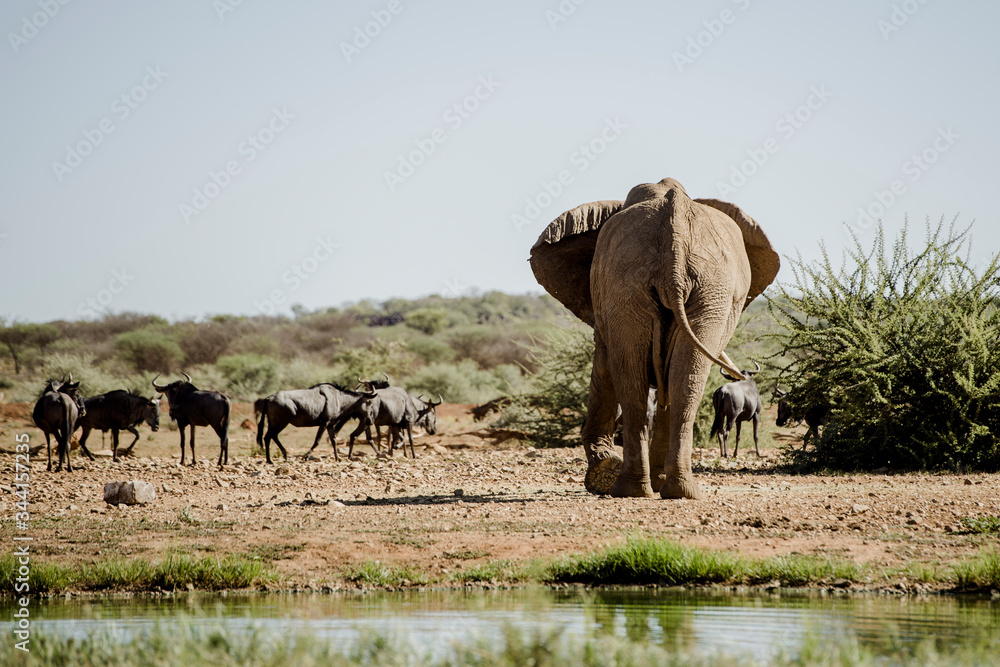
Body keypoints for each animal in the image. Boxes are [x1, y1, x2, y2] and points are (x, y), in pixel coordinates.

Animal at [529, 178, 779, 499]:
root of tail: (675, 221)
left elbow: (607, 370)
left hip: (698, 289)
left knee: (662, 380)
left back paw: (650, 489)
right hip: (660, 286)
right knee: (665, 380)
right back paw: (653, 489)